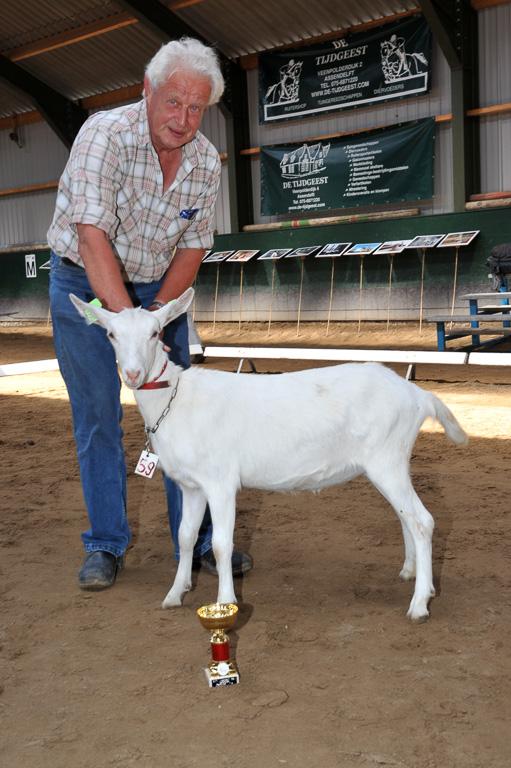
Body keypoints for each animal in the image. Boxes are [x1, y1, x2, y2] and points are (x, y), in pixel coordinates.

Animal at [71, 290, 468, 624]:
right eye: (111, 335)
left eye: (155, 333)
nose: (133, 374)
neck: (176, 400)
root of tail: (418, 395)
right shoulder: (191, 486)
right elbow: (185, 537)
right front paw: (174, 594)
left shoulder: (220, 481)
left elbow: (221, 544)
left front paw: (225, 602)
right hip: (391, 461)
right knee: (406, 517)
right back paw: (412, 572)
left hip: (387, 458)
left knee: (422, 520)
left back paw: (419, 604)